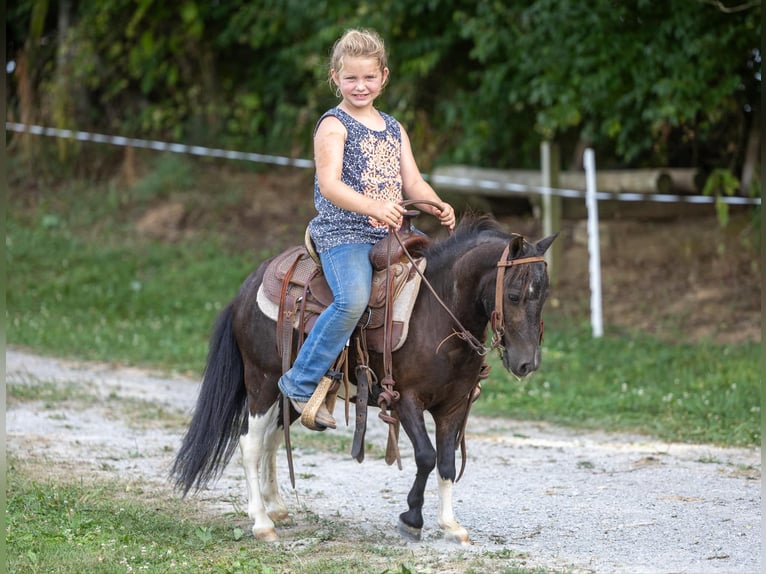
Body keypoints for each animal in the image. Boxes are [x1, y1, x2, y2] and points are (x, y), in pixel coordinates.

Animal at [172, 214, 560, 548]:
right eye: (514, 295)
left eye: (543, 296)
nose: (526, 363)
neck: (439, 315)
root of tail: (247, 288)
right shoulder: (405, 400)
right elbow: (426, 456)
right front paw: (412, 519)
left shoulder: (452, 407)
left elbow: (447, 463)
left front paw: (451, 525)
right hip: (261, 382)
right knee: (250, 443)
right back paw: (262, 523)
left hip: (292, 394)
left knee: (271, 438)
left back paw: (278, 509)